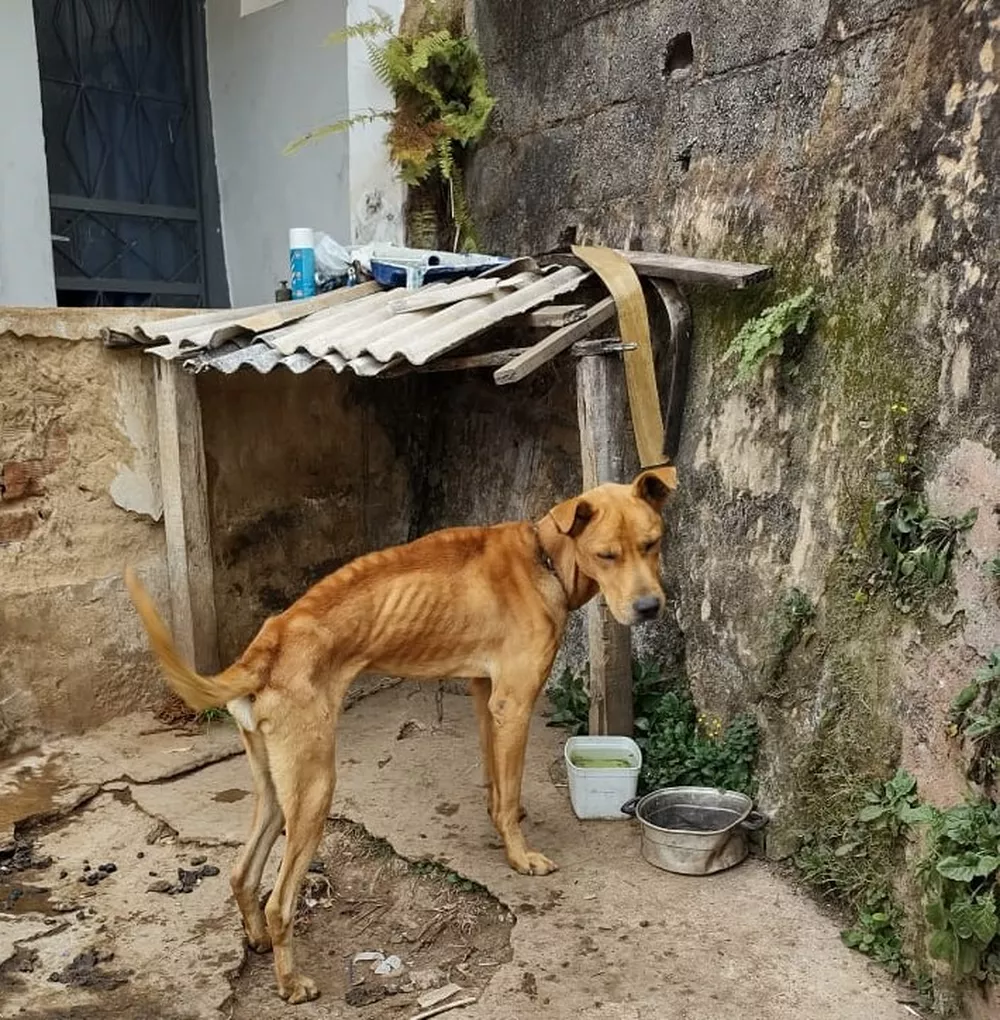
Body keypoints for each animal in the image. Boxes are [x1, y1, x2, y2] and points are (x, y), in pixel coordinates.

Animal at [122, 467, 673, 1003]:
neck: (545, 557)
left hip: (278, 788)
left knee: (242, 873)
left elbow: (497, 782)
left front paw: (503, 819)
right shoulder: (514, 703)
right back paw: (290, 983)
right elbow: (510, 785)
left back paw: (256, 939)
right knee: (279, 901)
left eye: (652, 543)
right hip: (315, 789)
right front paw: (519, 856)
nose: (650, 608)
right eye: (607, 554)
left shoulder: (485, 695)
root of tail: (268, 644)